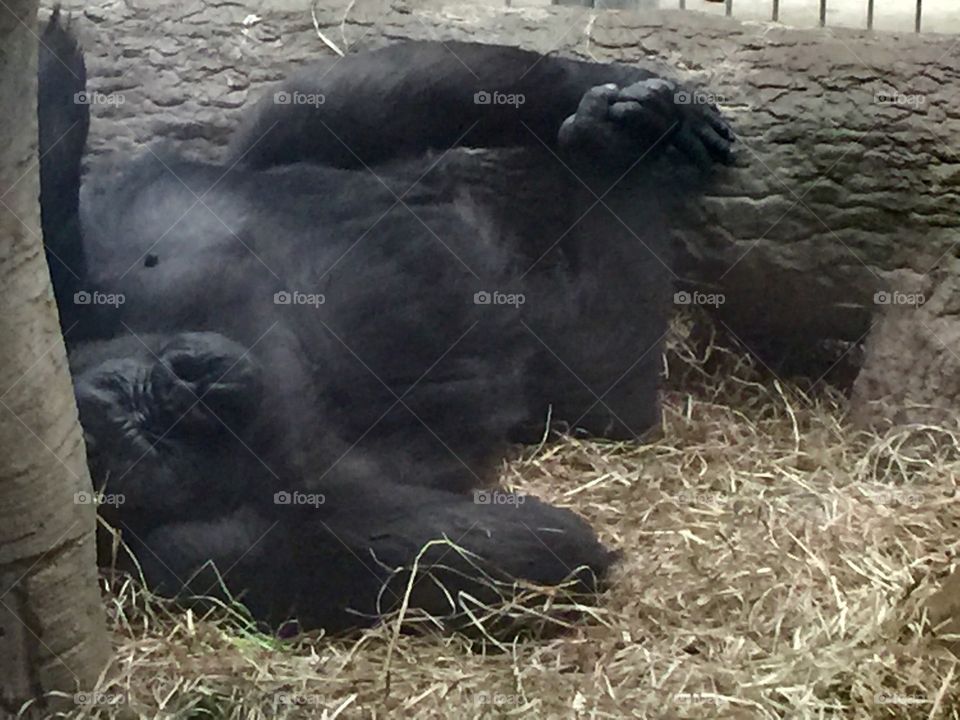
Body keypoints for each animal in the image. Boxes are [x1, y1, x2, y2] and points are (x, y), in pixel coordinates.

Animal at [33, 9, 732, 632]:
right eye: (151, 433)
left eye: (138, 394)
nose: (187, 385)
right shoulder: (206, 550)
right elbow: (471, 552)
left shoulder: (94, 264)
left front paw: (49, 107)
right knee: (610, 387)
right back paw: (611, 163)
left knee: (306, 115)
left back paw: (606, 104)